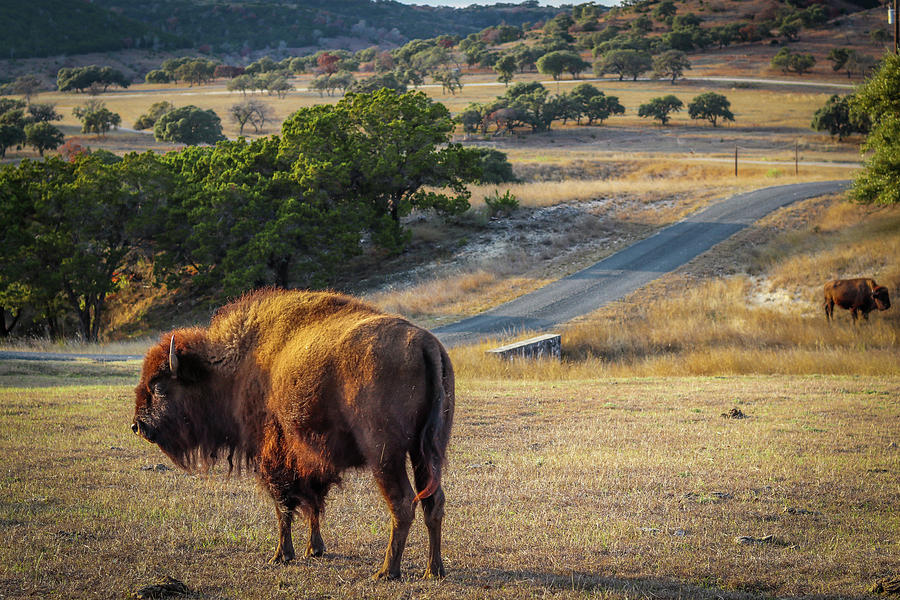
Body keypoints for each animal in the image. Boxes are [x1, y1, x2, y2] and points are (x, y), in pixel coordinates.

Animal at [132, 288, 458, 580]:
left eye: (159, 387)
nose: (138, 425)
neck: (237, 366)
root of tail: (426, 344)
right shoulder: (312, 460)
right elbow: (313, 503)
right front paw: (314, 549)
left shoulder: (272, 455)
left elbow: (283, 505)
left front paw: (281, 554)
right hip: (426, 453)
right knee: (433, 502)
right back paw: (433, 570)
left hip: (385, 455)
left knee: (402, 504)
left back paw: (386, 572)